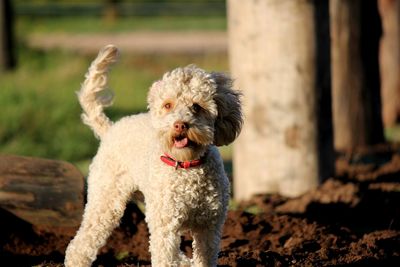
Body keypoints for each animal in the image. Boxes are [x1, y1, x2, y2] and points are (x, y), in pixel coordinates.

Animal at [64, 45, 242, 266]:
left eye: (196, 106)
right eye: (168, 105)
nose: (180, 125)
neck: (186, 166)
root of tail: (111, 128)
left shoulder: (209, 227)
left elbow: (204, 258)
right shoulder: (165, 226)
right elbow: (166, 257)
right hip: (106, 199)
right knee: (82, 242)